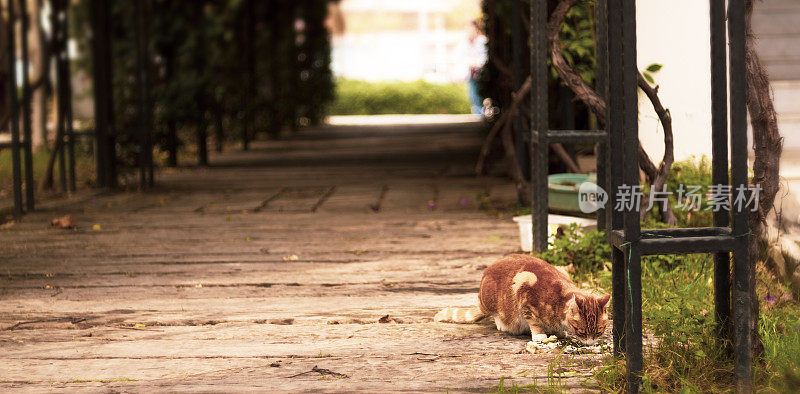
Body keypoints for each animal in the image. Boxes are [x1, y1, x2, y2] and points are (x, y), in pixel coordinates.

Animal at [434, 254, 608, 344]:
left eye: (599, 331)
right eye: (582, 331)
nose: (591, 344)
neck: (559, 301)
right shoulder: (524, 289)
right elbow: (534, 322)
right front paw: (539, 334)